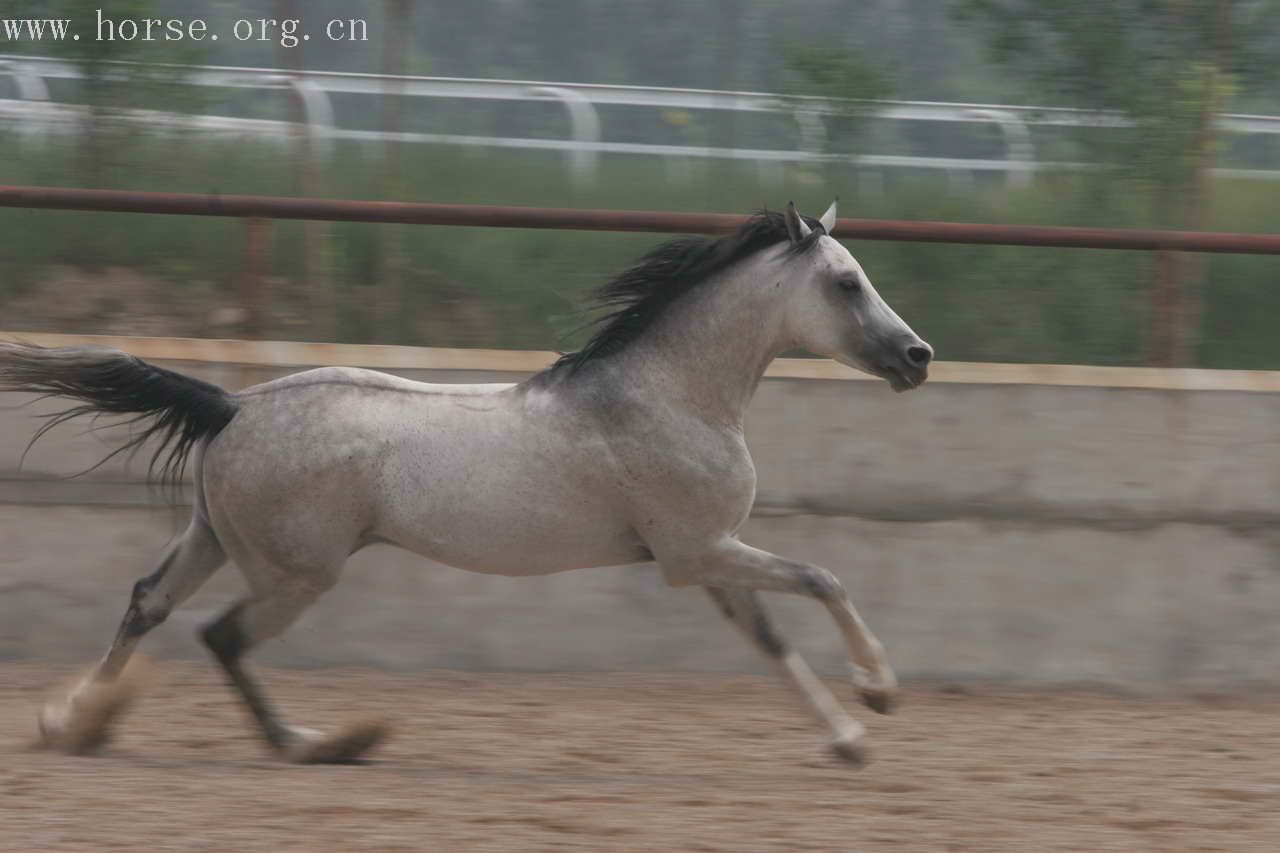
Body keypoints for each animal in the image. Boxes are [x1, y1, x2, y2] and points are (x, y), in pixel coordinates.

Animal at [5, 201, 936, 763]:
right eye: (847, 282)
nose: (918, 357)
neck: (667, 394)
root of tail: (233, 404)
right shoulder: (700, 551)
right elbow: (824, 576)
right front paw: (880, 695)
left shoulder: (705, 558)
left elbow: (773, 638)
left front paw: (849, 736)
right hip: (294, 574)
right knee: (221, 636)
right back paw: (312, 742)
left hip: (213, 537)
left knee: (148, 603)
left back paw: (68, 721)